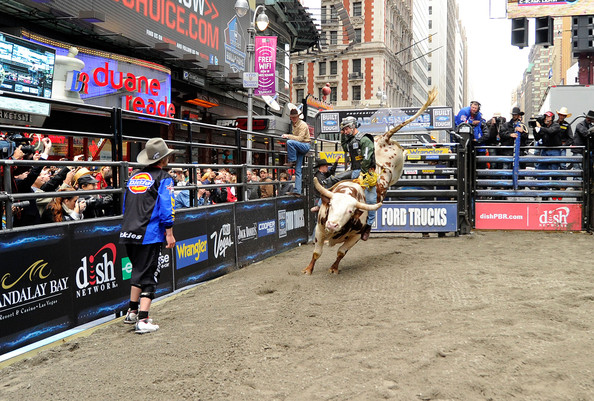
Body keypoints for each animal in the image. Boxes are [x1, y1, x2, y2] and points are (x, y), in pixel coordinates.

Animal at [302, 88, 438, 276]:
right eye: (332, 206)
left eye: (350, 211)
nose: (332, 223)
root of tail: (384, 138)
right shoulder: (320, 230)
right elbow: (316, 252)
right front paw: (308, 269)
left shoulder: (355, 237)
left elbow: (341, 252)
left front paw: (334, 268)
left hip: (396, 171)